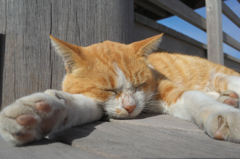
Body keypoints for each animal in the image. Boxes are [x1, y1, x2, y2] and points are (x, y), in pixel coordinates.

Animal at [0, 33, 240, 145]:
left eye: (139, 85)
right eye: (108, 90)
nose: (130, 107)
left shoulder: (169, 89)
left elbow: (195, 97)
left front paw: (225, 116)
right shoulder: (96, 103)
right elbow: (75, 104)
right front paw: (40, 114)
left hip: (223, 76)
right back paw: (229, 98)